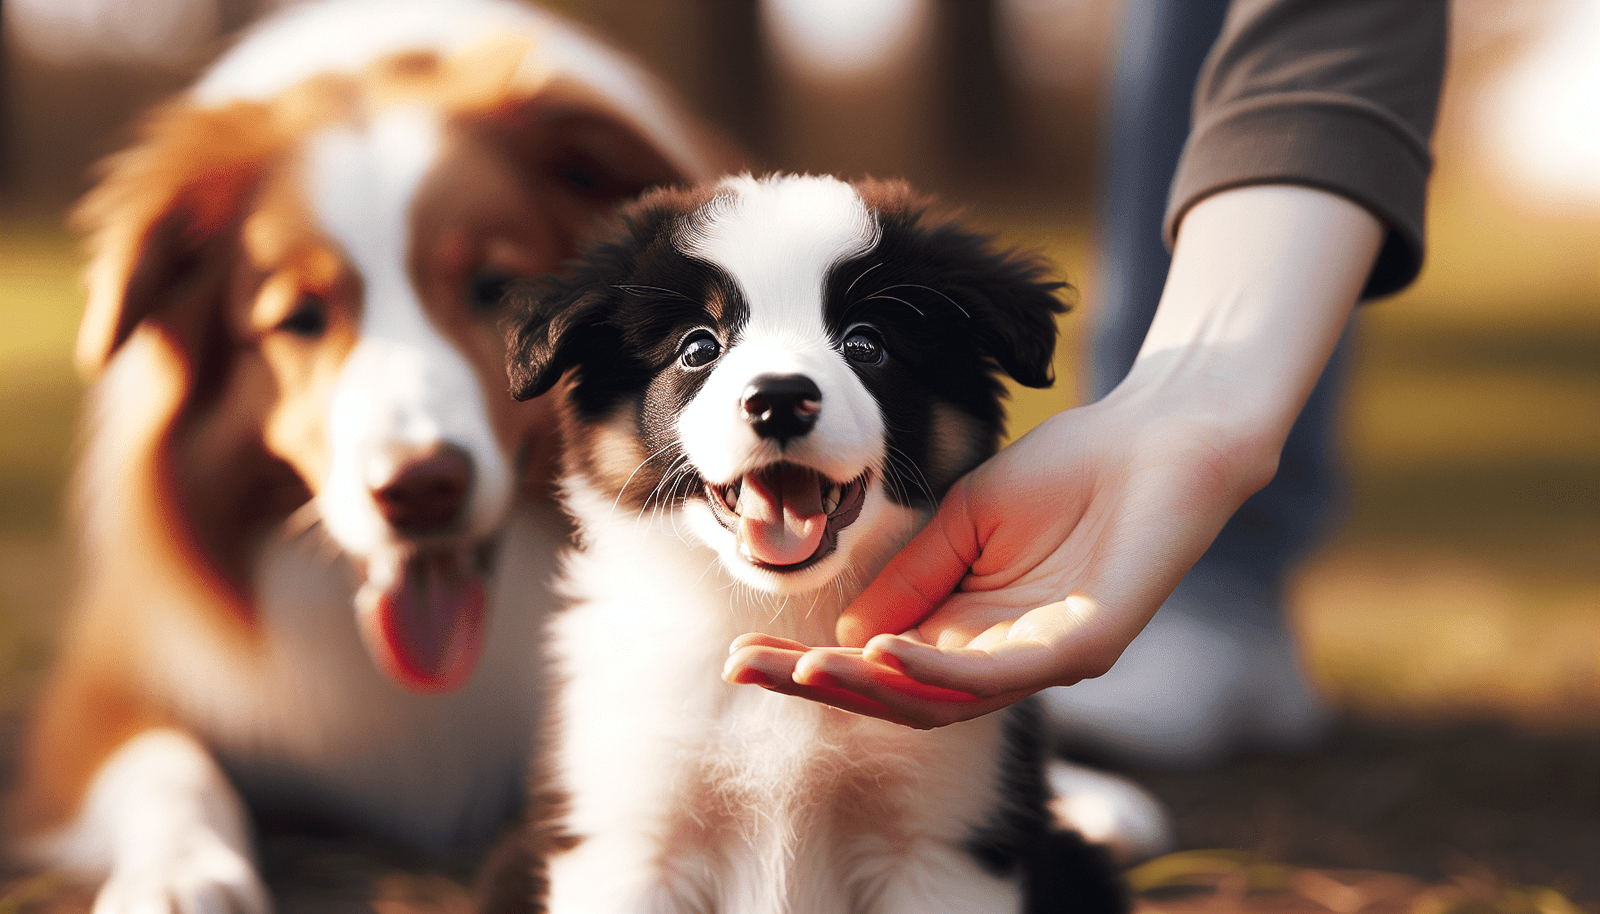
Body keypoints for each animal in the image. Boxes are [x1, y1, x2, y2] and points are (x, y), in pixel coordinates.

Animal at [3, 1, 729, 914]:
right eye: (301, 317)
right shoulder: (95, 694)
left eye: (495, 289)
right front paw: (178, 875)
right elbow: (167, 763)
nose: (420, 489)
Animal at [505, 175, 1120, 909]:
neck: (783, 612)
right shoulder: (629, 835)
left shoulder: (940, 842)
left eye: (865, 345)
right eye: (699, 348)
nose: (779, 399)